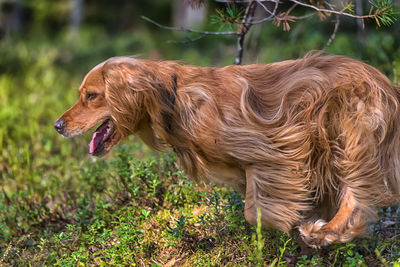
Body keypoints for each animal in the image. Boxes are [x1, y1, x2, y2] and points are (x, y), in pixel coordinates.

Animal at [54, 55, 400, 249]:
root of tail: (387, 85)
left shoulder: (274, 148)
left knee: (357, 196)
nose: (57, 125)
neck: (171, 100)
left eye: (91, 96)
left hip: (351, 134)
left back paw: (327, 233)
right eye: (83, 95)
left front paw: (294, 223)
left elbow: (255, 210)